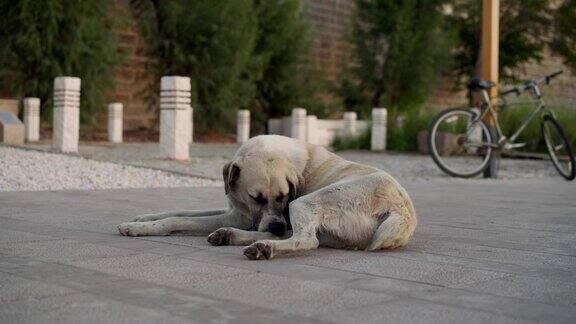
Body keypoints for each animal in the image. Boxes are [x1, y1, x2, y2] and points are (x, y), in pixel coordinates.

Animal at [118, 135, 414, 260]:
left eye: (283, 196)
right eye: (257, 198)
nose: (277, 224)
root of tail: (403, 213)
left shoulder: (262, 212)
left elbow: (181, 220)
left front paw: (138, 227)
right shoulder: (238, 212)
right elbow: (183, 212)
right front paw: (143, 218)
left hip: (304, 203)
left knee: (306, 240)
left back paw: (264, 247)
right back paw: (233, 237)